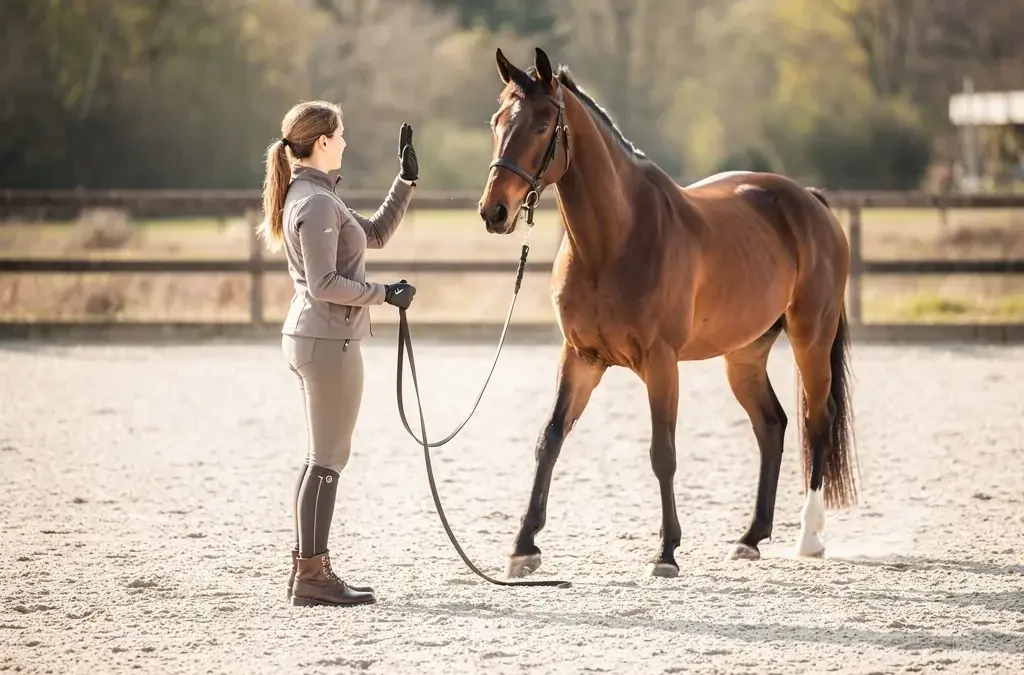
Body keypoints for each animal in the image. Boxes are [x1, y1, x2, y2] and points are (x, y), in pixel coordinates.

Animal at [476, 47, 858, 579]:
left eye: (541, 125)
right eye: (497, 122)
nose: (494, 212)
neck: (613, 241)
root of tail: (811, 201)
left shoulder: (660, 362)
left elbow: (664, 453)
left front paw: (667, 552)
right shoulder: (580, 357)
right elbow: (549, 439)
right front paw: (523, 546)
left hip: (811, 337)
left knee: (817, 419)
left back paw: (808, 537)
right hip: (744, 354)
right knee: (772, 424)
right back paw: (750, 538)